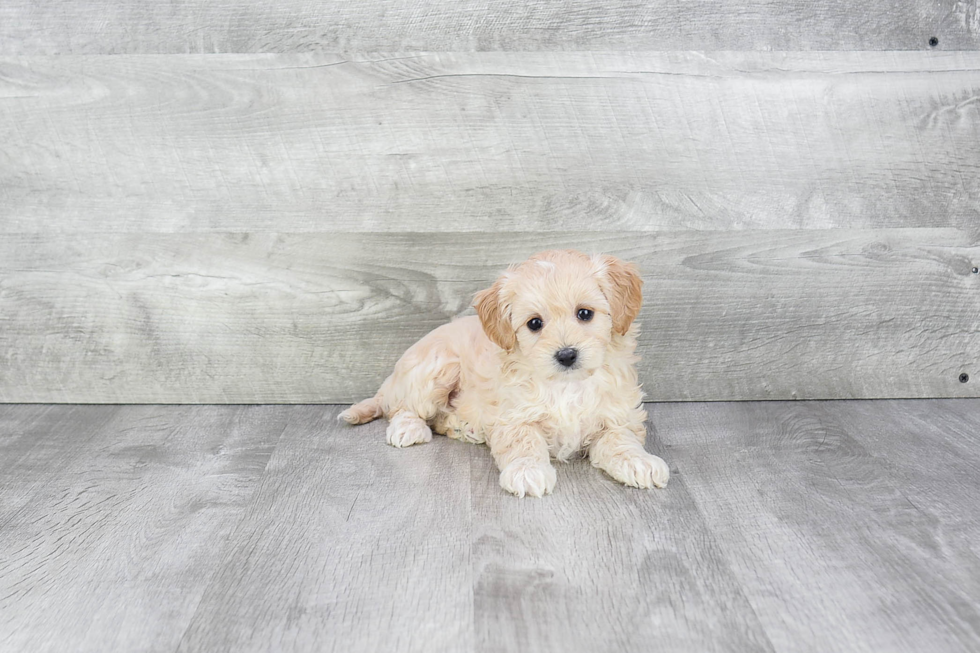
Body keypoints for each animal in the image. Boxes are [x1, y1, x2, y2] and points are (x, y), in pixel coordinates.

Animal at [340, 247, 668, 496]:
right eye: (534, 323)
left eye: (584, 313)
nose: (566, 355)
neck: (566, 385)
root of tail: (392, 380)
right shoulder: (514, 416)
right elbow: (523, 442)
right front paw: (527, 471)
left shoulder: (618, 416)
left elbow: (621, 440)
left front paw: (639, 462)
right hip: (436, 368)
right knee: (402, 408)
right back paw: (409, 428)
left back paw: (463, 427)